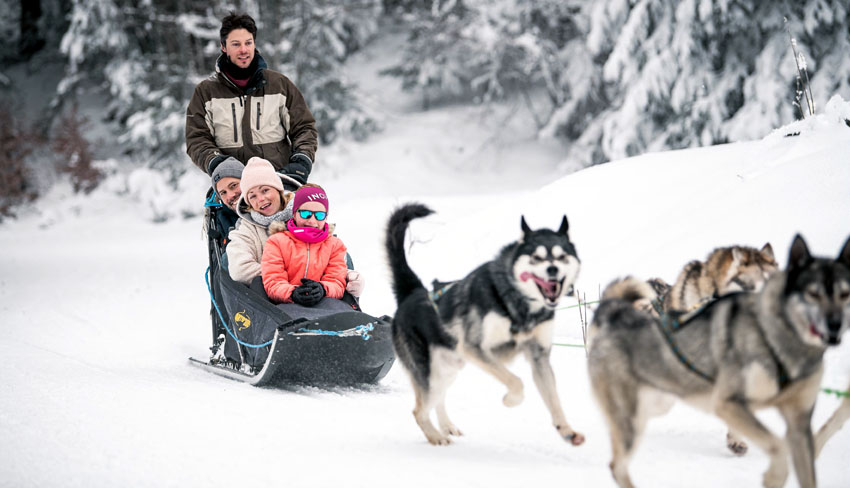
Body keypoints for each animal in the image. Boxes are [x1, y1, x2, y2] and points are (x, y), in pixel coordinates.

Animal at [384, 202, 584, 446]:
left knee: (437, 400)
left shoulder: (539, 357)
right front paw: (510, 400)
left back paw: (446, 426)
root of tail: (413, 292)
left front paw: (566, 430)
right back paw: (435, 436)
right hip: (430, 373)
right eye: (536, 258)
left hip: (448, 370)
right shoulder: (475, 349)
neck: (517, 305)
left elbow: (554, 399)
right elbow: (516, 381)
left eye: (562, 256)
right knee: (419, 411)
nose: (552, 270)